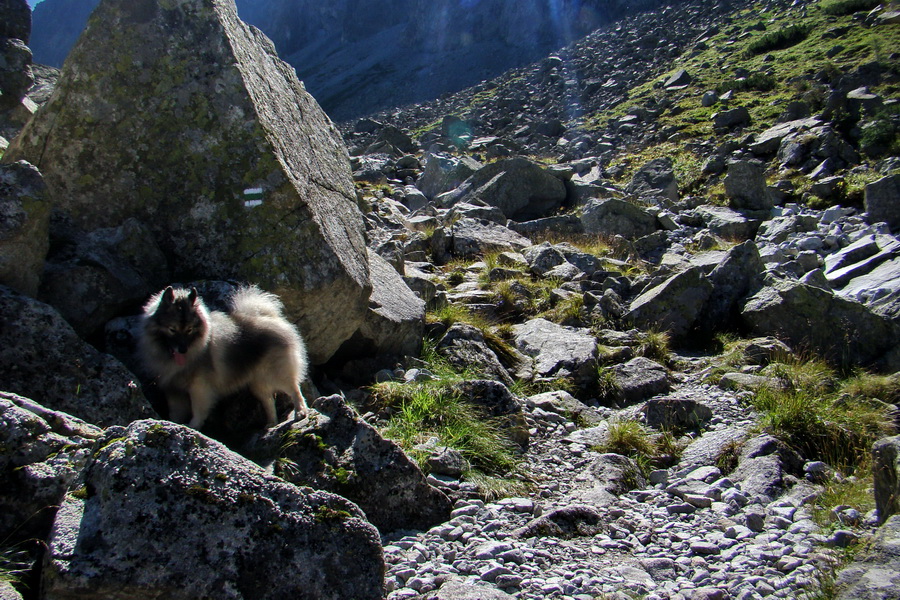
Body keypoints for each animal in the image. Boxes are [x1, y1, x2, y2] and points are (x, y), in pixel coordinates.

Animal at [139, 284, 310, 428]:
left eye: (189, 330)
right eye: (172, 329)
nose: (182, 349)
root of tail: (270, 318)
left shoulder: (199, 388)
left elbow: (198, 410)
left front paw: (193, 426)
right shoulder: (173, 390)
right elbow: (176, 412)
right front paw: (174, 423)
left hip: (276, 373)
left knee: (294, 390)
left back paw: (300, 412)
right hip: (258, 384)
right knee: (269, 402)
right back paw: (271, 423)